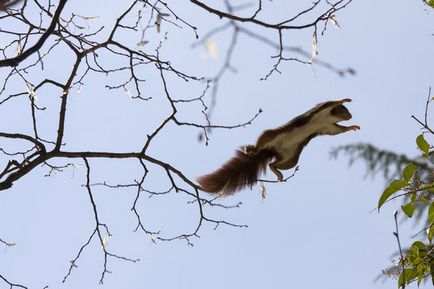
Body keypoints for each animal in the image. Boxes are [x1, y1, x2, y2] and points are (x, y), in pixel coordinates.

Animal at [197, 98, 360, 196]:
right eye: (344, 110)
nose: (351, 116)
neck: (328, 117)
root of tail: (271, 150)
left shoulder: (328, 126)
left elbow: (337, 131)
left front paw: (352, 127)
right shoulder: (322, 109)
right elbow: (330, 102)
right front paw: (345, 99)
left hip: (291, 158)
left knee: (274, 164)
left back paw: (276, 171)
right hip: (270, 136)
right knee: (262, 145)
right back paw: (253, 150)